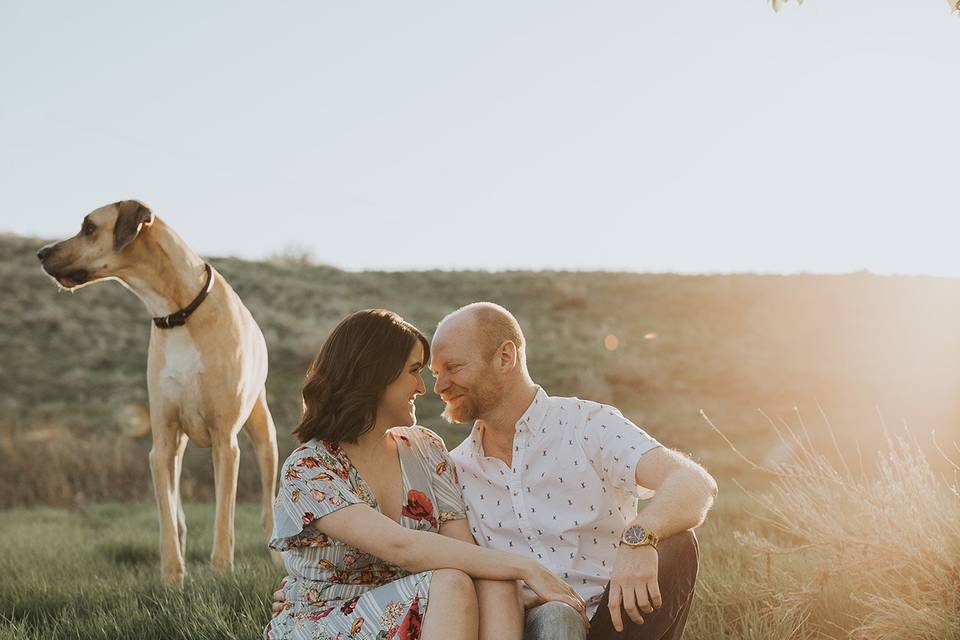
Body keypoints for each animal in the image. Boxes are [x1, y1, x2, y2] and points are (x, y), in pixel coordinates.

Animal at [38, 200, 278, 584]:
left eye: (89, 227)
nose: (41, 253)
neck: (178, 313)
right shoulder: (162, 443)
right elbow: (166, 517)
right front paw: (172, 578)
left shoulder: (225, 442)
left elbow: (223, 520)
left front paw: (221, 573)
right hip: (178, 446)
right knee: (177, 513)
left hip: (263, 433)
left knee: (268, 507)